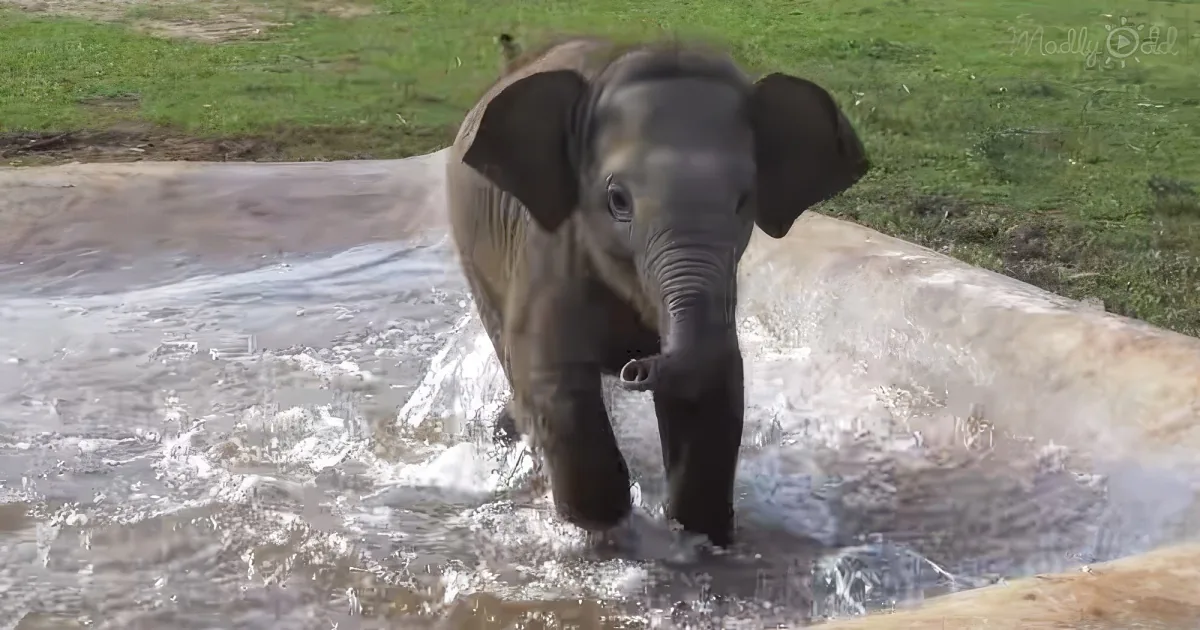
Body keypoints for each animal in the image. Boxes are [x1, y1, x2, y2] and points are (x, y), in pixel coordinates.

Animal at [446, 35, 869, 547]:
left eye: (744, 200)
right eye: (618, 201)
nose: (636, 367)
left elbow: (714, 391)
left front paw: (700, 538)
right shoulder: (548, 250)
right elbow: (556, 385)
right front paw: (601, 536)